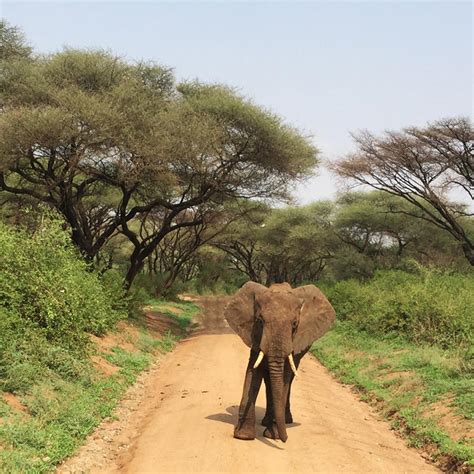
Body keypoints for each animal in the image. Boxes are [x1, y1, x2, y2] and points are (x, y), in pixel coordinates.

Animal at [224, 280, 336, 442]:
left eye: (295, 324)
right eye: (260, 321)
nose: (285, 439)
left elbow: (284, 377)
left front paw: (273, 435)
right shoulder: (255, 335)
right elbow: (253, 372)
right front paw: (244, 436)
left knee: (289, 380)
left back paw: (283, 421)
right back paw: (267, 422)